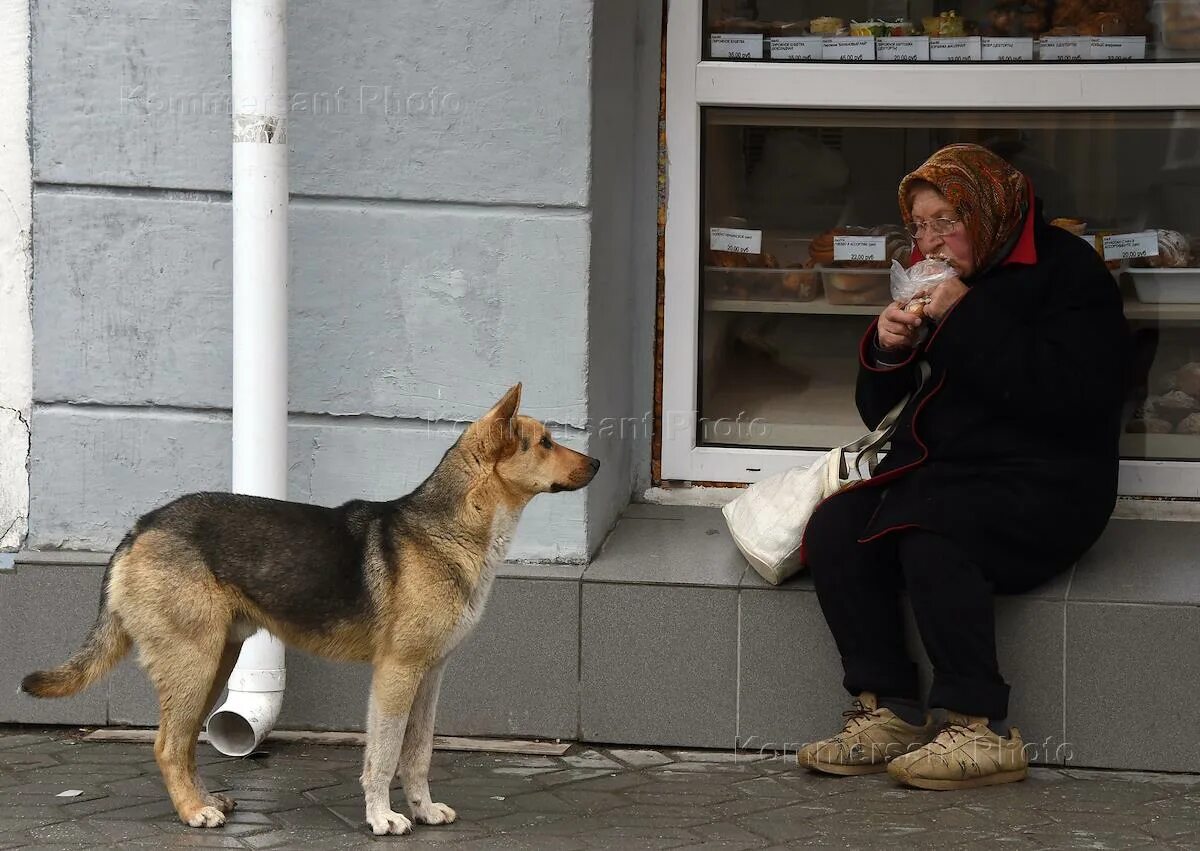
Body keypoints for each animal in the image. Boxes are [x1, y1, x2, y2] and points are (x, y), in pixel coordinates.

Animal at [19, 386, 600, 835]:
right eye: (546, 442)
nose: (597, 462)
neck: (451, 529)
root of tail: (141, 525)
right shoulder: (397, 674)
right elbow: (383, 755)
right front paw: (382, 818)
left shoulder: (430, 675)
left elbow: (416, 755)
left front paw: (424, 810)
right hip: (194, 663)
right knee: (167, 745)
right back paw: (193, 813)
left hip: (216, 663)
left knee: (184, 745)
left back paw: (207, 801)